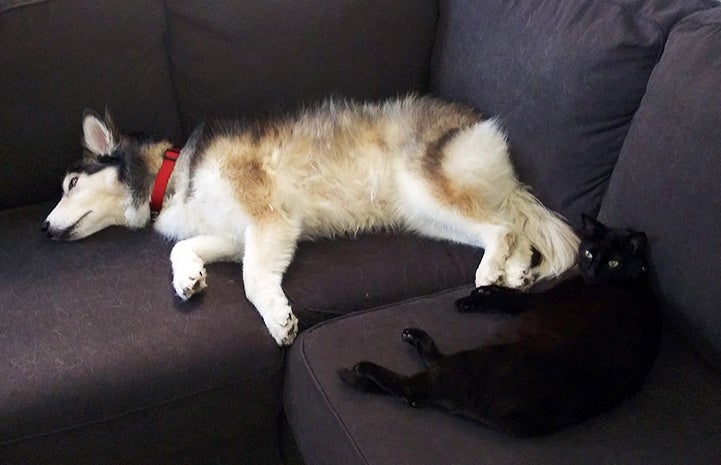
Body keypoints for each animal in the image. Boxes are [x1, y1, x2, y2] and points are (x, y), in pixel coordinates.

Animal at [43, 95, 572, 344]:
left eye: (70, 184)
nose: (44, 229)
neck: (171, 175)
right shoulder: (236, 234)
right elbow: (183, 246)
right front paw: (188, 278)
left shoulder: (269, 218)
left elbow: (254, 278)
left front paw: (278, 318)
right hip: (426, 214)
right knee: (513, 230)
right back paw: (515, 273)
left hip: (428, 191)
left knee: (501, 228)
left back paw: (488, 275)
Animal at [340, 217, 660, 436]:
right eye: (590, 253)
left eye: (615, 262)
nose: (592, 270)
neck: (631, 283)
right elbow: (505, 294)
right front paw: (479, 293)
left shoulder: (541, 300)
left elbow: (511, 298)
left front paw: (474, 296)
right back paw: (416, 337)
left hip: (477, 360)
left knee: (414, 389)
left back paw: (368, 366)